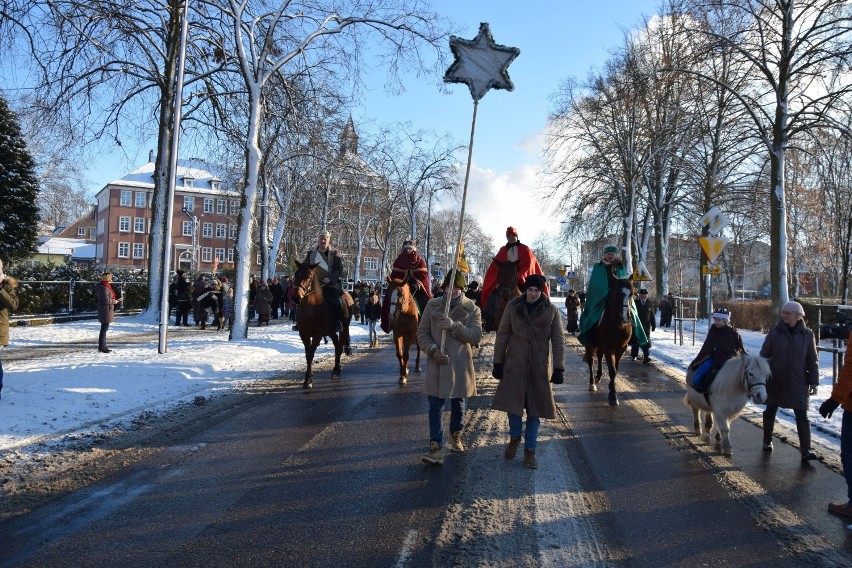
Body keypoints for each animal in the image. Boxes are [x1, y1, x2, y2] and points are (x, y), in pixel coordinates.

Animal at [288, 260, 352, 388]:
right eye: (296, 275)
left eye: (308, 276)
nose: (296, 298)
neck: (311, 307)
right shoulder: (304, 334)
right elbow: (308, 354)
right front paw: (308, 378)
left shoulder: (317, 334)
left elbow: (311, 354)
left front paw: (308, 379)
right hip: (330, 331)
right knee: (337, 344)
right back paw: (338, 368)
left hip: (344, 328)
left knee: (339, 347)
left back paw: (336, 370)